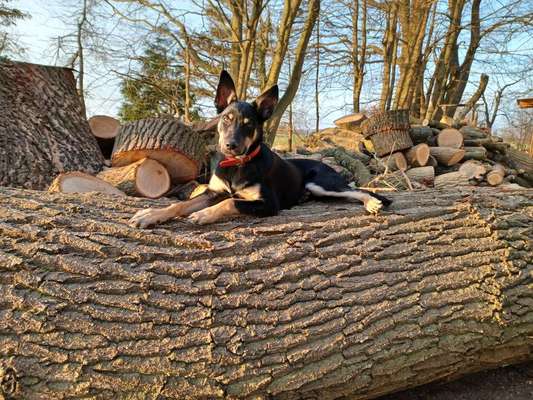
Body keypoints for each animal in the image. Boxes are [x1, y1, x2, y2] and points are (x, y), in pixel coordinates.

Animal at [127, 70, 388, 228]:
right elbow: (179, 204)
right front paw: (150, 215)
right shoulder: (213, 192)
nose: (230, 145)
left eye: (249, 124)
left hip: (321, 183)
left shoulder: (268, 203)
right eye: (226, 118)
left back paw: (372, 203)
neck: (236, 165)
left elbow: (231, 202)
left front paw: (204, 214)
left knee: (357, 190)